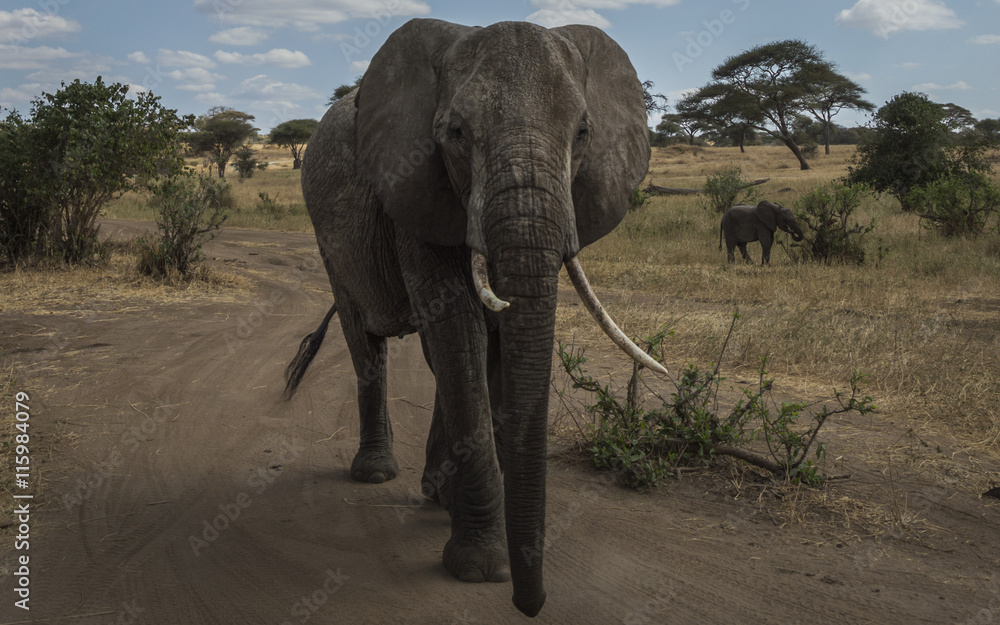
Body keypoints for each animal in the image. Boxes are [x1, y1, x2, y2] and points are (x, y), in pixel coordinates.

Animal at [282, 19, 664, 617]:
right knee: (367, 341)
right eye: (456, 133)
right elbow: (459, 325)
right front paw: (483, 569)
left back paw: (437, 494)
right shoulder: (414, 185)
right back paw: (376, 473)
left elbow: (493, 338)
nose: (530, 605)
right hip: (329, 239)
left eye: (583, 133)